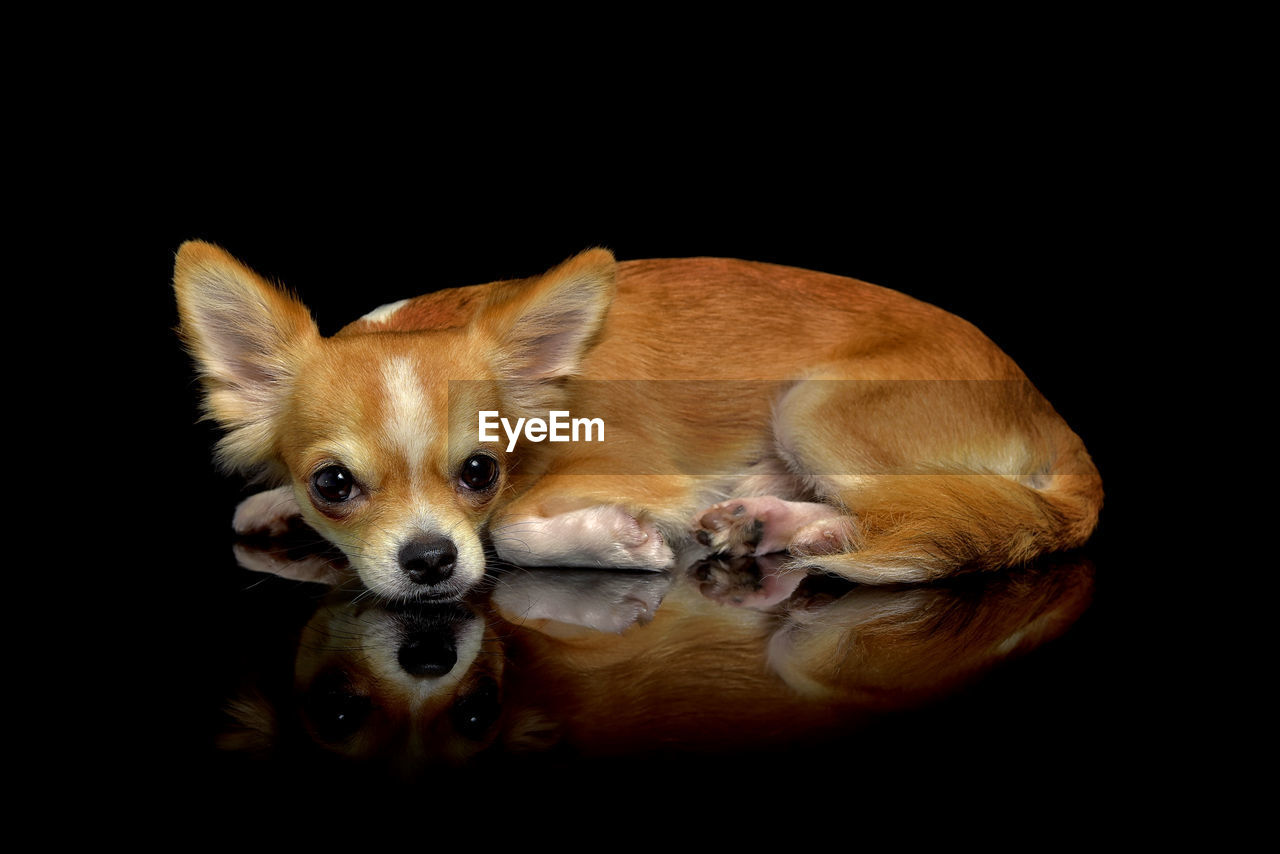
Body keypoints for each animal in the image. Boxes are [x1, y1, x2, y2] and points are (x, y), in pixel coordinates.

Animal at [175, 240, 1105, 604]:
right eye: (332, 485)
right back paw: (772, 519)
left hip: (810, 406)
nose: (431, 561)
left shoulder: (633, 473)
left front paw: (618, 540)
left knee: (910, 511)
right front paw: (272, 504)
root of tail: (1047, 410)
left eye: (480, 471)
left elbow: (509, 530)